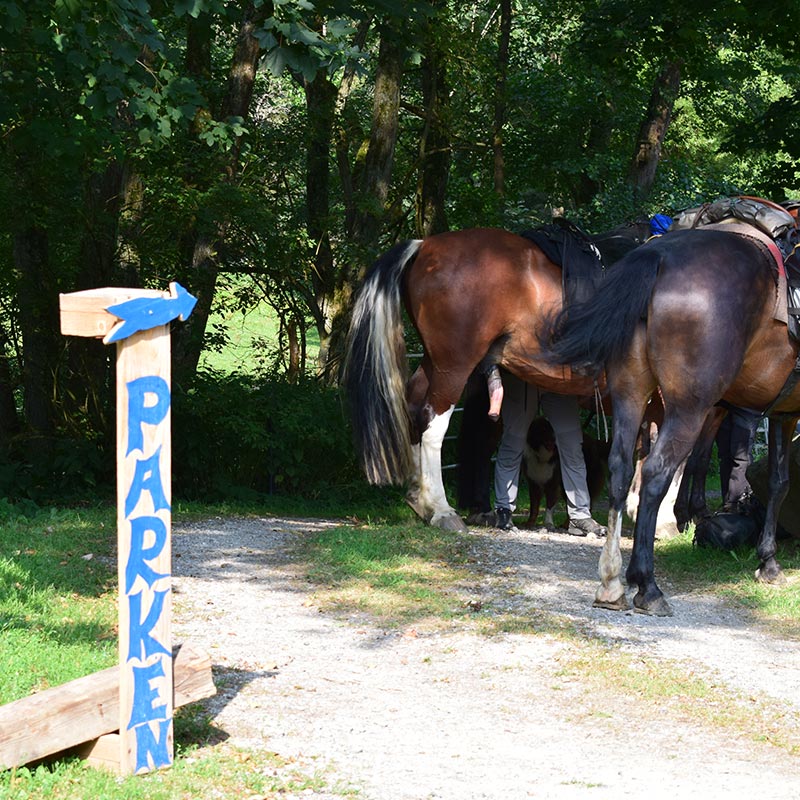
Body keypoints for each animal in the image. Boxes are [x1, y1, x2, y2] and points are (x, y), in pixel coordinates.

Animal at [341, 221, 650, 533]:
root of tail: (424, 246)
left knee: (415, 410)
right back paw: (442, 510)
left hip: (434, 363)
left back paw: (421, 500)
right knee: (432, 424)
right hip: (454, 367)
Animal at [541, 223, 800, 616]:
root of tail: (657, 255)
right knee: (656, 472)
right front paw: (768, 562)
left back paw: (611, 583)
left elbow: (777, 482)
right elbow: (778, 483)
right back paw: (647, 585)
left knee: (621, 469)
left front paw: (767, 561)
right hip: (687, 409)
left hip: (632, 393)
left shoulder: (783, 413)